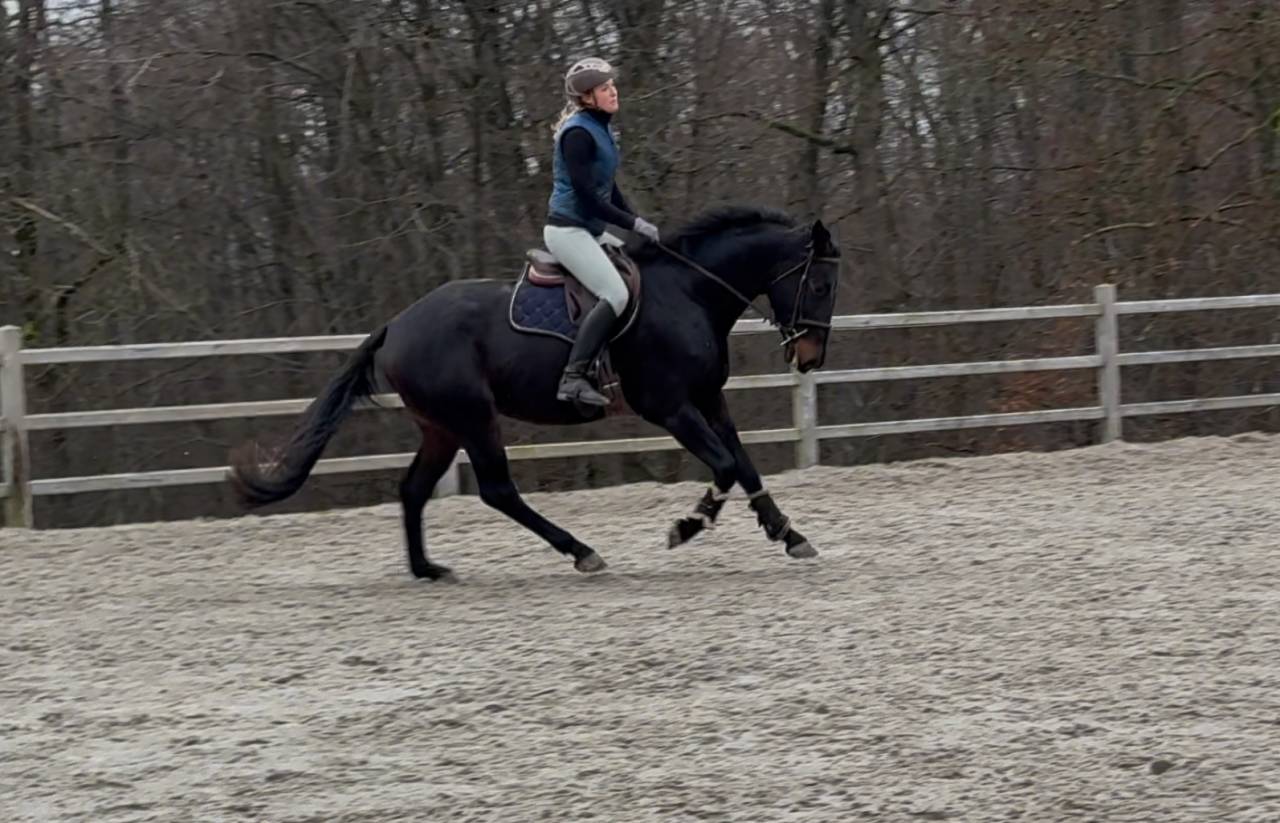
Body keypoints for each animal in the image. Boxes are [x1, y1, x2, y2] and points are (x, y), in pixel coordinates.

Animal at [227, 205, 842, 581]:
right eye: (817, 282)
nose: (812, 357)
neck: (689, 293)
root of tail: (396, 325)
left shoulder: (711, 398)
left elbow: (744, 463)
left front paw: (788, 533)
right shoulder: (670, 407)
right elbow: (723, 467)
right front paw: (687, 527)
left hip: (442, 426)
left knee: (414, 489)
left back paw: (428, 569)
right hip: (474, 418)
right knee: (497, 490)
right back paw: (581, 551)